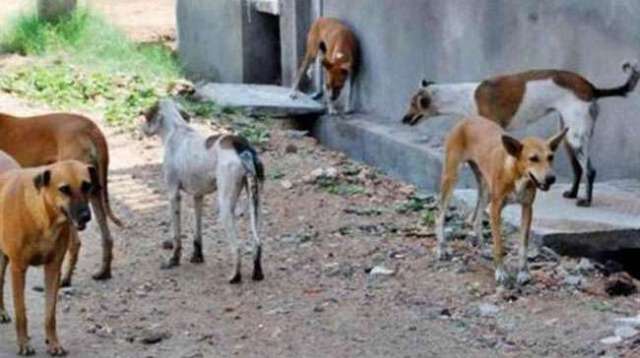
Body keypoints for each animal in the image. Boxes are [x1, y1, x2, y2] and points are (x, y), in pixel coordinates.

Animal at [0, 113, 122, 284]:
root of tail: (90, 127)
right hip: (94, 194)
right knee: (107, 238)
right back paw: (103, 272)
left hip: (73, 206)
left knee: (75, 243)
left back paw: (65, 279)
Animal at [0, 160, 95, 356]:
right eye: (64, 189)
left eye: (87, 185)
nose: (86, 216)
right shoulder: (18, 269)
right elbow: (21, 313)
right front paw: (24, 344)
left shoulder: (53, 268)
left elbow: (50, 314)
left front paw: (53, 343)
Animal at [141, 99, 266, 284]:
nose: (141, 128)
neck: (177, 129)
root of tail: (240, 145)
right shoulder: (198, 196)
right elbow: (197, 231)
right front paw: (197, 256)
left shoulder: (173, 195)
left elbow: (177, 236)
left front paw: (174, 260)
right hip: (255, 204)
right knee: (257, 242)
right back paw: (257, 273)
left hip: (225, 207)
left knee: (237, 248)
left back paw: (235, 276)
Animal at [402, 62, 640, 207]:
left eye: (412, 104)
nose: (403, 119)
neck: (465, 96)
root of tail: (592, 88)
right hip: (567, 137)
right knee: (578, 169)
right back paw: (572, 194)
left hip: (576, 138)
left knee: (589, 170)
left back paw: (586, 201)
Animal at [438, 117, 568, 288]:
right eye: (533, 158)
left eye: (550, 157)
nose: (551, 178)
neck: (516, 174)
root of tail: (467, 119)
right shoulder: (496, 208)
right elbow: (499, 244)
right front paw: (500, 272)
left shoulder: (527, 208)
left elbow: (523, 245)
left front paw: (523, 272)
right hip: (451, 177)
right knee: (440, 213)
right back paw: (441, 248)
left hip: (486, 191)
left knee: (476, 218)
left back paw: (482, 247)